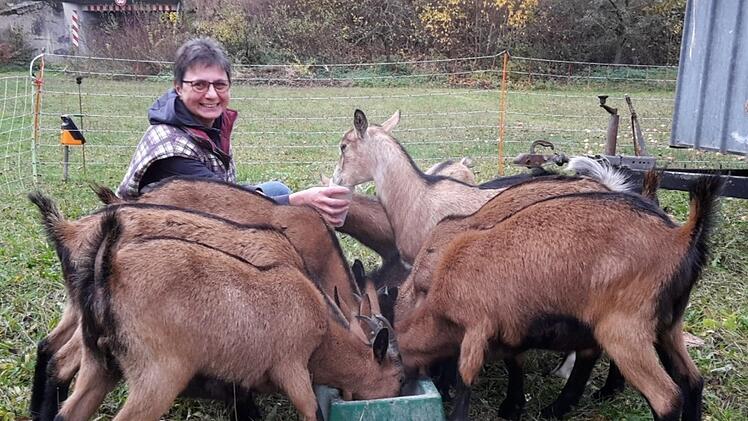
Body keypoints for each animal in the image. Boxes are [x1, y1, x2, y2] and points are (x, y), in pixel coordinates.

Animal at [55, 209, 403, 421]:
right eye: (399, 377)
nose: (400, 392)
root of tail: (108, 271)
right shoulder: (291, 366)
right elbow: (310, 411)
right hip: (157, 375)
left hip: (99, 364)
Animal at [396, 176, 722, 420]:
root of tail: (681, 237)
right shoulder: (515, 325)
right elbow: (515, 359)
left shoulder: (487, 323)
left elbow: (484, 370)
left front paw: (508, 406)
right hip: (667, 325)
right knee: (692, 380)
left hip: (622, 328)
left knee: (666, 397)